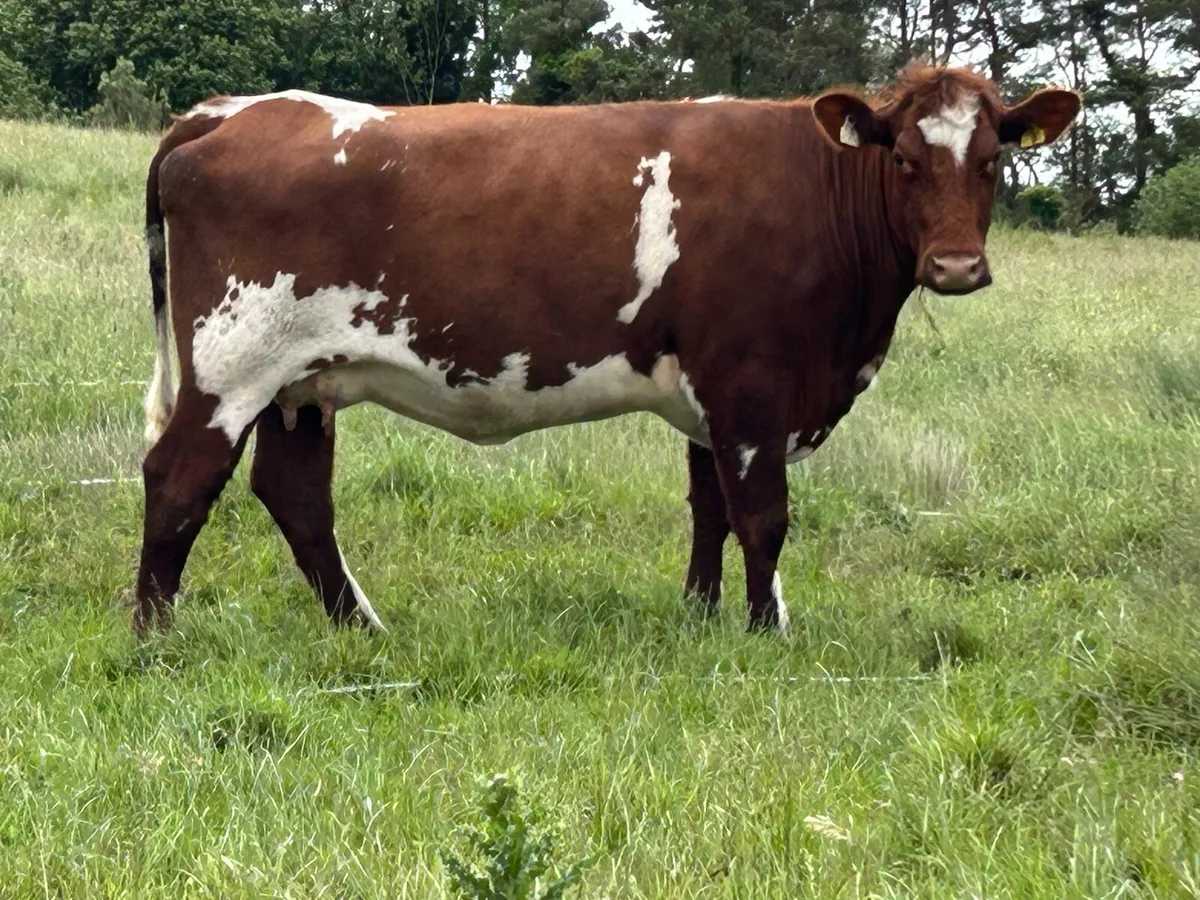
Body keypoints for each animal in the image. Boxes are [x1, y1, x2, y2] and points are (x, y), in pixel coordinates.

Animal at [134, 63, 1081, 638]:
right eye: (907, 160)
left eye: (992, 159)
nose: (955, 266)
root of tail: (231, 111)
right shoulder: (751, 383)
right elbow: (763, 515)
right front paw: (766, 632)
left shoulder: (710, 394)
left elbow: (709, 509)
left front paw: (701, 621)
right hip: (232, 363)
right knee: (179, 477)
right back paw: (153, 636)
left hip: (301, 381)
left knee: (294, 496)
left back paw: (363, 629)